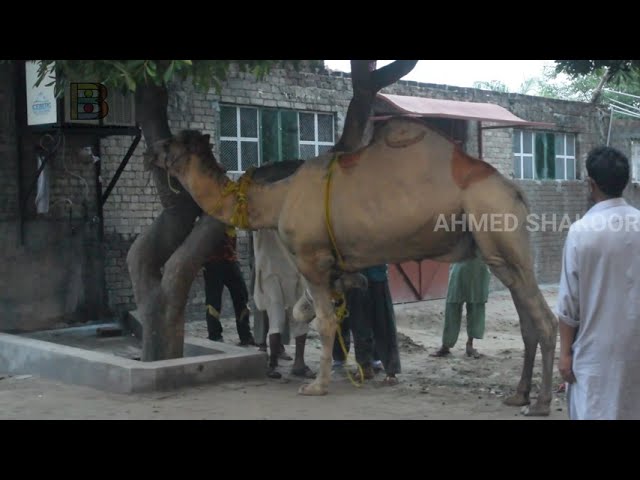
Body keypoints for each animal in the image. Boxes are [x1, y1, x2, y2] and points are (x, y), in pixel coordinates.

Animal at [142, 62, 556, 416]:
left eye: (171, 145)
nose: (149, 151)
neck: (277, 199)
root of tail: (516, 192)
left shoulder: (310, 259)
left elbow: (323, 320)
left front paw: (317, 386)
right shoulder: (334, 265)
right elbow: (309, 311)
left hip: (497, 228)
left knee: (545, 319)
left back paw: (540, 403)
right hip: (496, 251)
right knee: (527, 319)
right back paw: (518, 395)